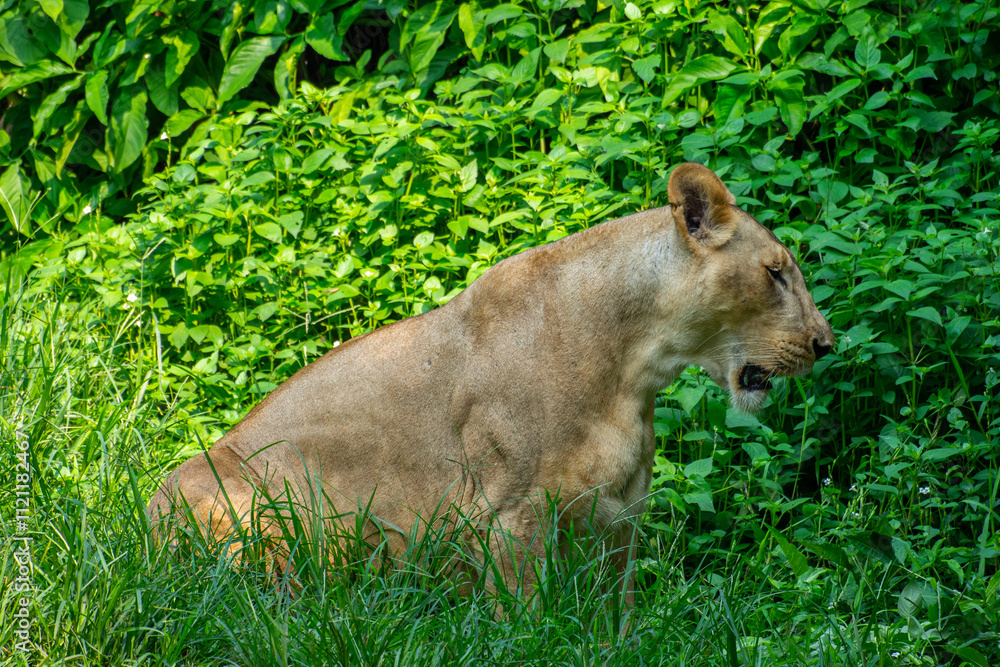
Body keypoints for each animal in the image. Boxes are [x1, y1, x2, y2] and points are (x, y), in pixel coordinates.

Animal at [147, 162, 834, 605]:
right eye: (776, 273)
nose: (827, 345)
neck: (634, 367)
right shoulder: (507, 514)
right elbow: (523, 615)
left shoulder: (621, 516)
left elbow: (617, 615)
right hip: (245, 513)